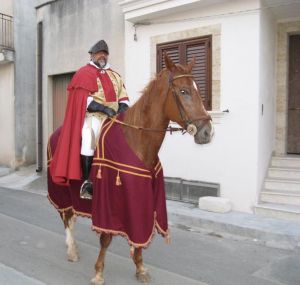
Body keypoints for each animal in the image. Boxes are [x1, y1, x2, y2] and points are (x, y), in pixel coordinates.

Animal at [47, 54, 213, 282]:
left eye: (196, 88)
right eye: (183, 91)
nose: (207, 132)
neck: (137, 138)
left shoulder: (142, 198)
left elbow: (139, 234)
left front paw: (140, 267)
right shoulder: (109, 203)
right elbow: (106, 238)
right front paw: (98, 272)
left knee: (69, 218)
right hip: (62, 191)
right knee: (66, 218)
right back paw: (71, 250)